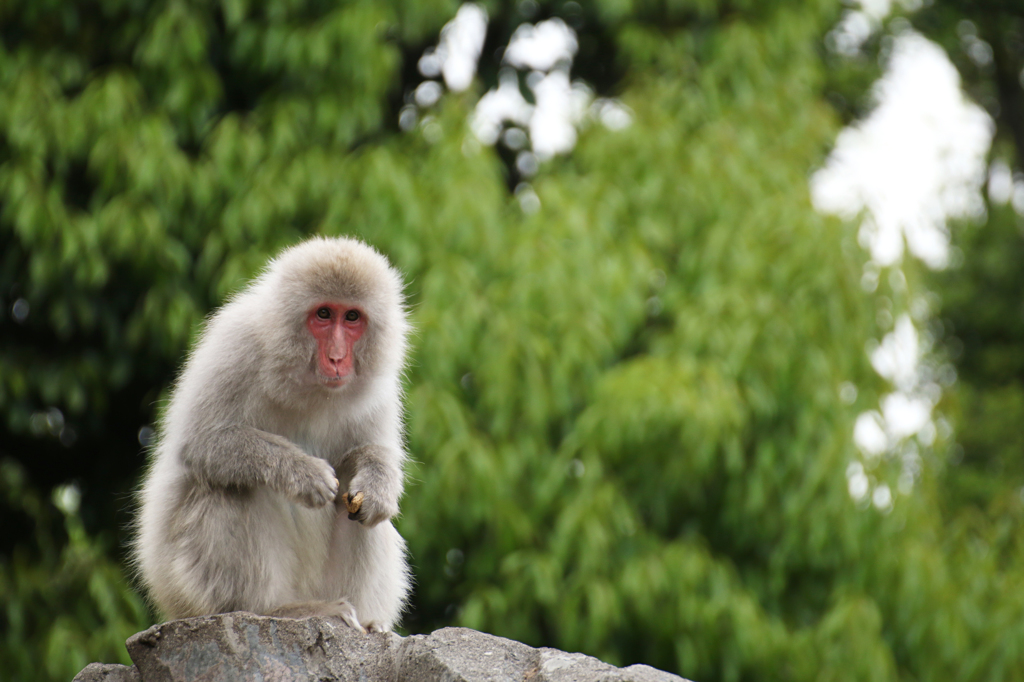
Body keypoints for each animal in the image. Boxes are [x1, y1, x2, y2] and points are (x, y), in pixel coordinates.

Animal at [132, 236, 411, 630]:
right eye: (323, 315)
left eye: (352, 317)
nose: (337, 357)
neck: (307, 383)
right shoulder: (236, 345)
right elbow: (201, 443)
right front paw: (302, 472)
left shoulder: (379, 388)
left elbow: (370, 453)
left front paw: (377, 486)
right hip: (186, 585)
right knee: (229, 487)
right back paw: (273, 610)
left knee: (356, 502)